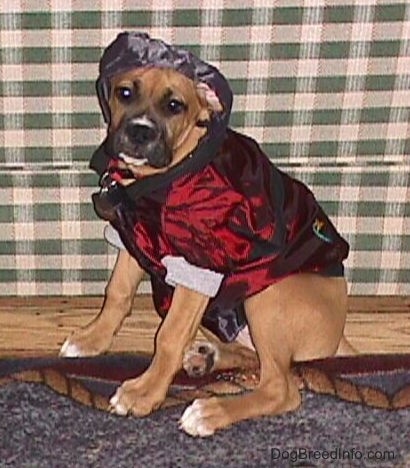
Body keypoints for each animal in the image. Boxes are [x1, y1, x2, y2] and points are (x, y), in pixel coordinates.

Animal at [60, 33, 356, 438]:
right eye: (125, 92)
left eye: (174, 105)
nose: (140, 131)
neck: (165, 178)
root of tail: (338, 336)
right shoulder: (130, 235)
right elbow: (117, 294)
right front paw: (93, 339)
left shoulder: (198, 266)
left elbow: (168, 337)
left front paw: (144, 393)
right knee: (258, 361)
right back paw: (208, 357)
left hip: (268, 295)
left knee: (280, 387)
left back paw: (210, 411)